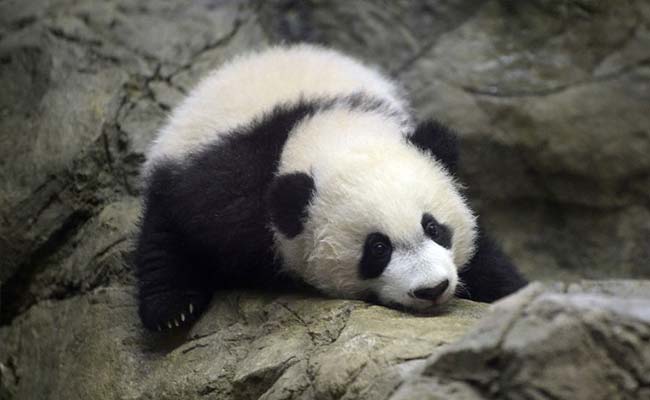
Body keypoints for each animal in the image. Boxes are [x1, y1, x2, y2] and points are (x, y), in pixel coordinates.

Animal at [134, 43, 524, 332]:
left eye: (434, 228)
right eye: (377, 248)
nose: (433, 289)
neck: (323, 127)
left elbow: (485, 258)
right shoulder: (224, 191)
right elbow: (185, 229)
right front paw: (172, 309)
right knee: (162, 229)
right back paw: (172, 310)